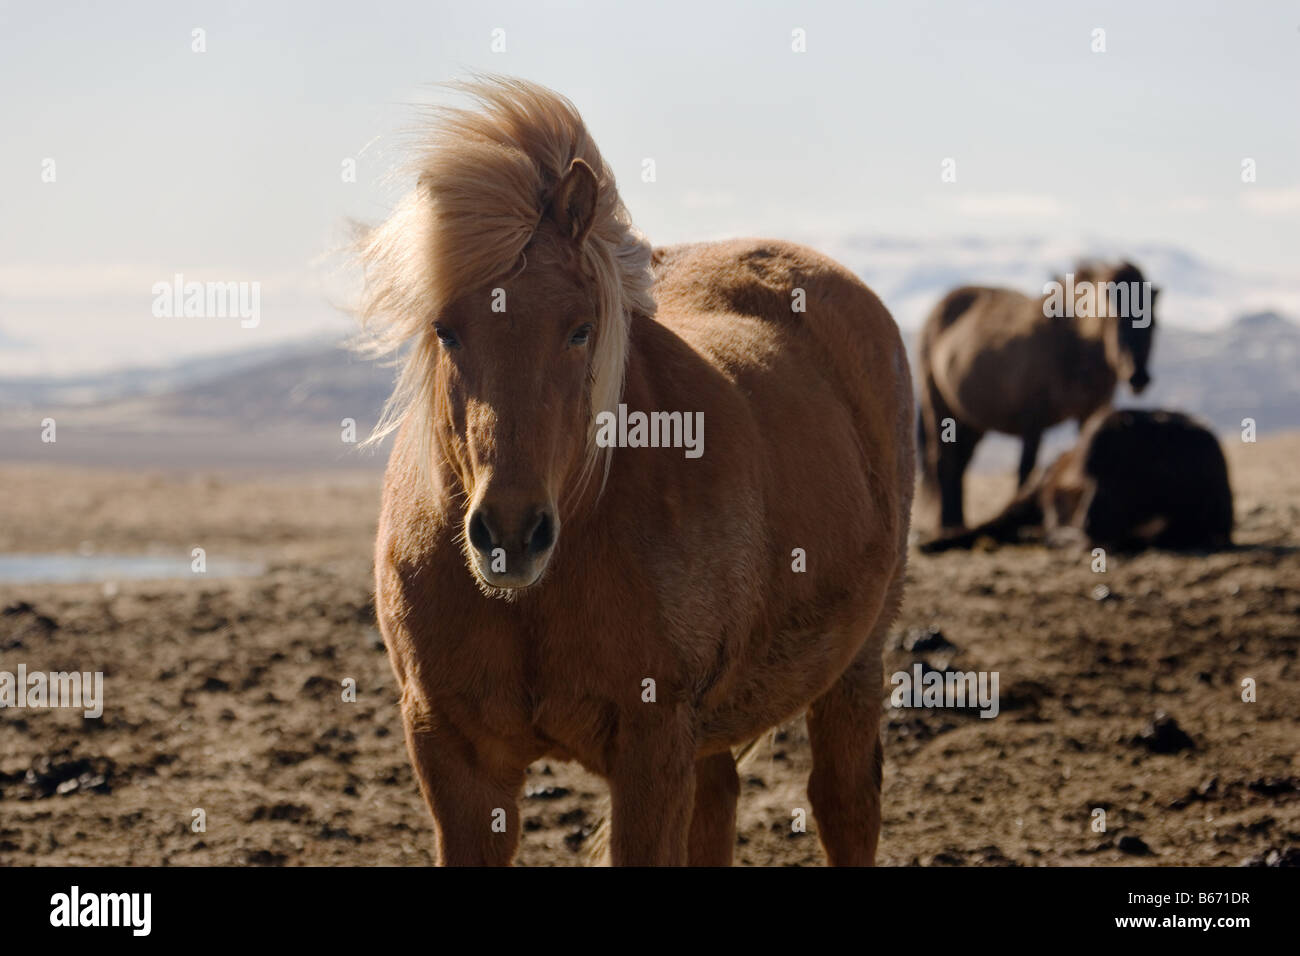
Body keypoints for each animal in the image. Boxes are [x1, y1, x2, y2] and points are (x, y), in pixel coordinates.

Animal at [358, 76, 915, 868]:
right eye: (446, 329)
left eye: (580, 329)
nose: (510, 533)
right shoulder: (453, 754)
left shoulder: (653, 748)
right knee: (719, 804)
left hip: (855, 663)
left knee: (845, 803)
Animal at [915, 261, 1159, 538]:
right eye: (1115, 320)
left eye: (1152, 324)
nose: (1138, 377)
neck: (1074, 343)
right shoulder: (1033, 419)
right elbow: (1026, 468)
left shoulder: (1089, 414)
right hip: (939, 406)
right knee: (944, 462)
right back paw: (947, 524)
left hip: (971, 422)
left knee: (960, 465)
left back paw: (957, 523)